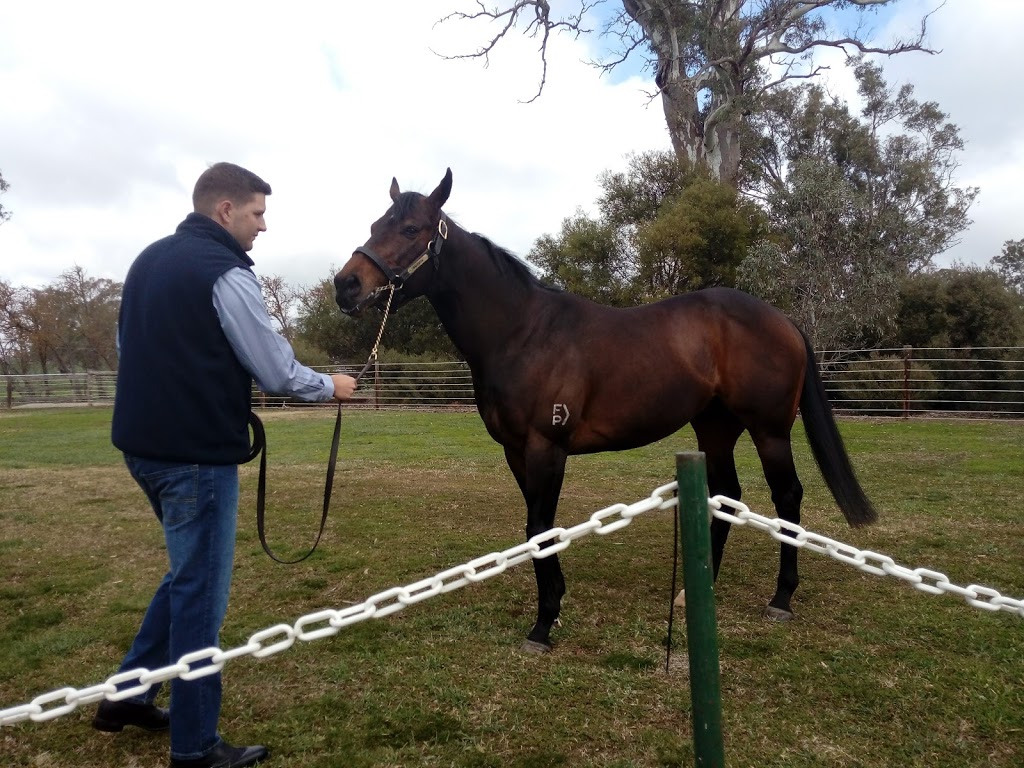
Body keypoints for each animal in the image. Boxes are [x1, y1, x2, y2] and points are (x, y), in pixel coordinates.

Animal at [331, 169, 876, 655]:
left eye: (410, 229)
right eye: (376, 223)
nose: (346, 285)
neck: (523, 332)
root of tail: (782, 319)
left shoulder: (546, 447)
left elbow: (540, 528)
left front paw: (543, 623)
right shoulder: (515, 451)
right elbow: (536, 529)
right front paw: (550, 608)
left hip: (770, 431)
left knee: (788, 497)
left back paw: (781, 597)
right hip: (715, 428)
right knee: (726, 495)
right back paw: (698, 591)